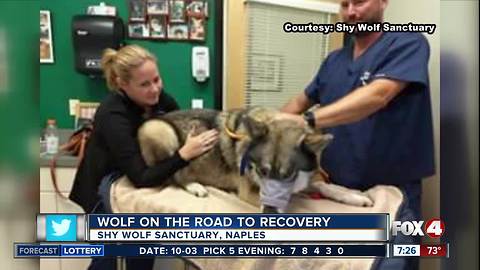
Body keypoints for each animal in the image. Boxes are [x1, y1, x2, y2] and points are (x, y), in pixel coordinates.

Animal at [137, 107, 374, 211]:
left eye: (289, 175)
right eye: (262, 171)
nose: (268, 213)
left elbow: (325, 186)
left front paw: (354, 196)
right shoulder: (250, 192)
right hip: (159, 131)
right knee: (174, 176)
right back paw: (195, 186)